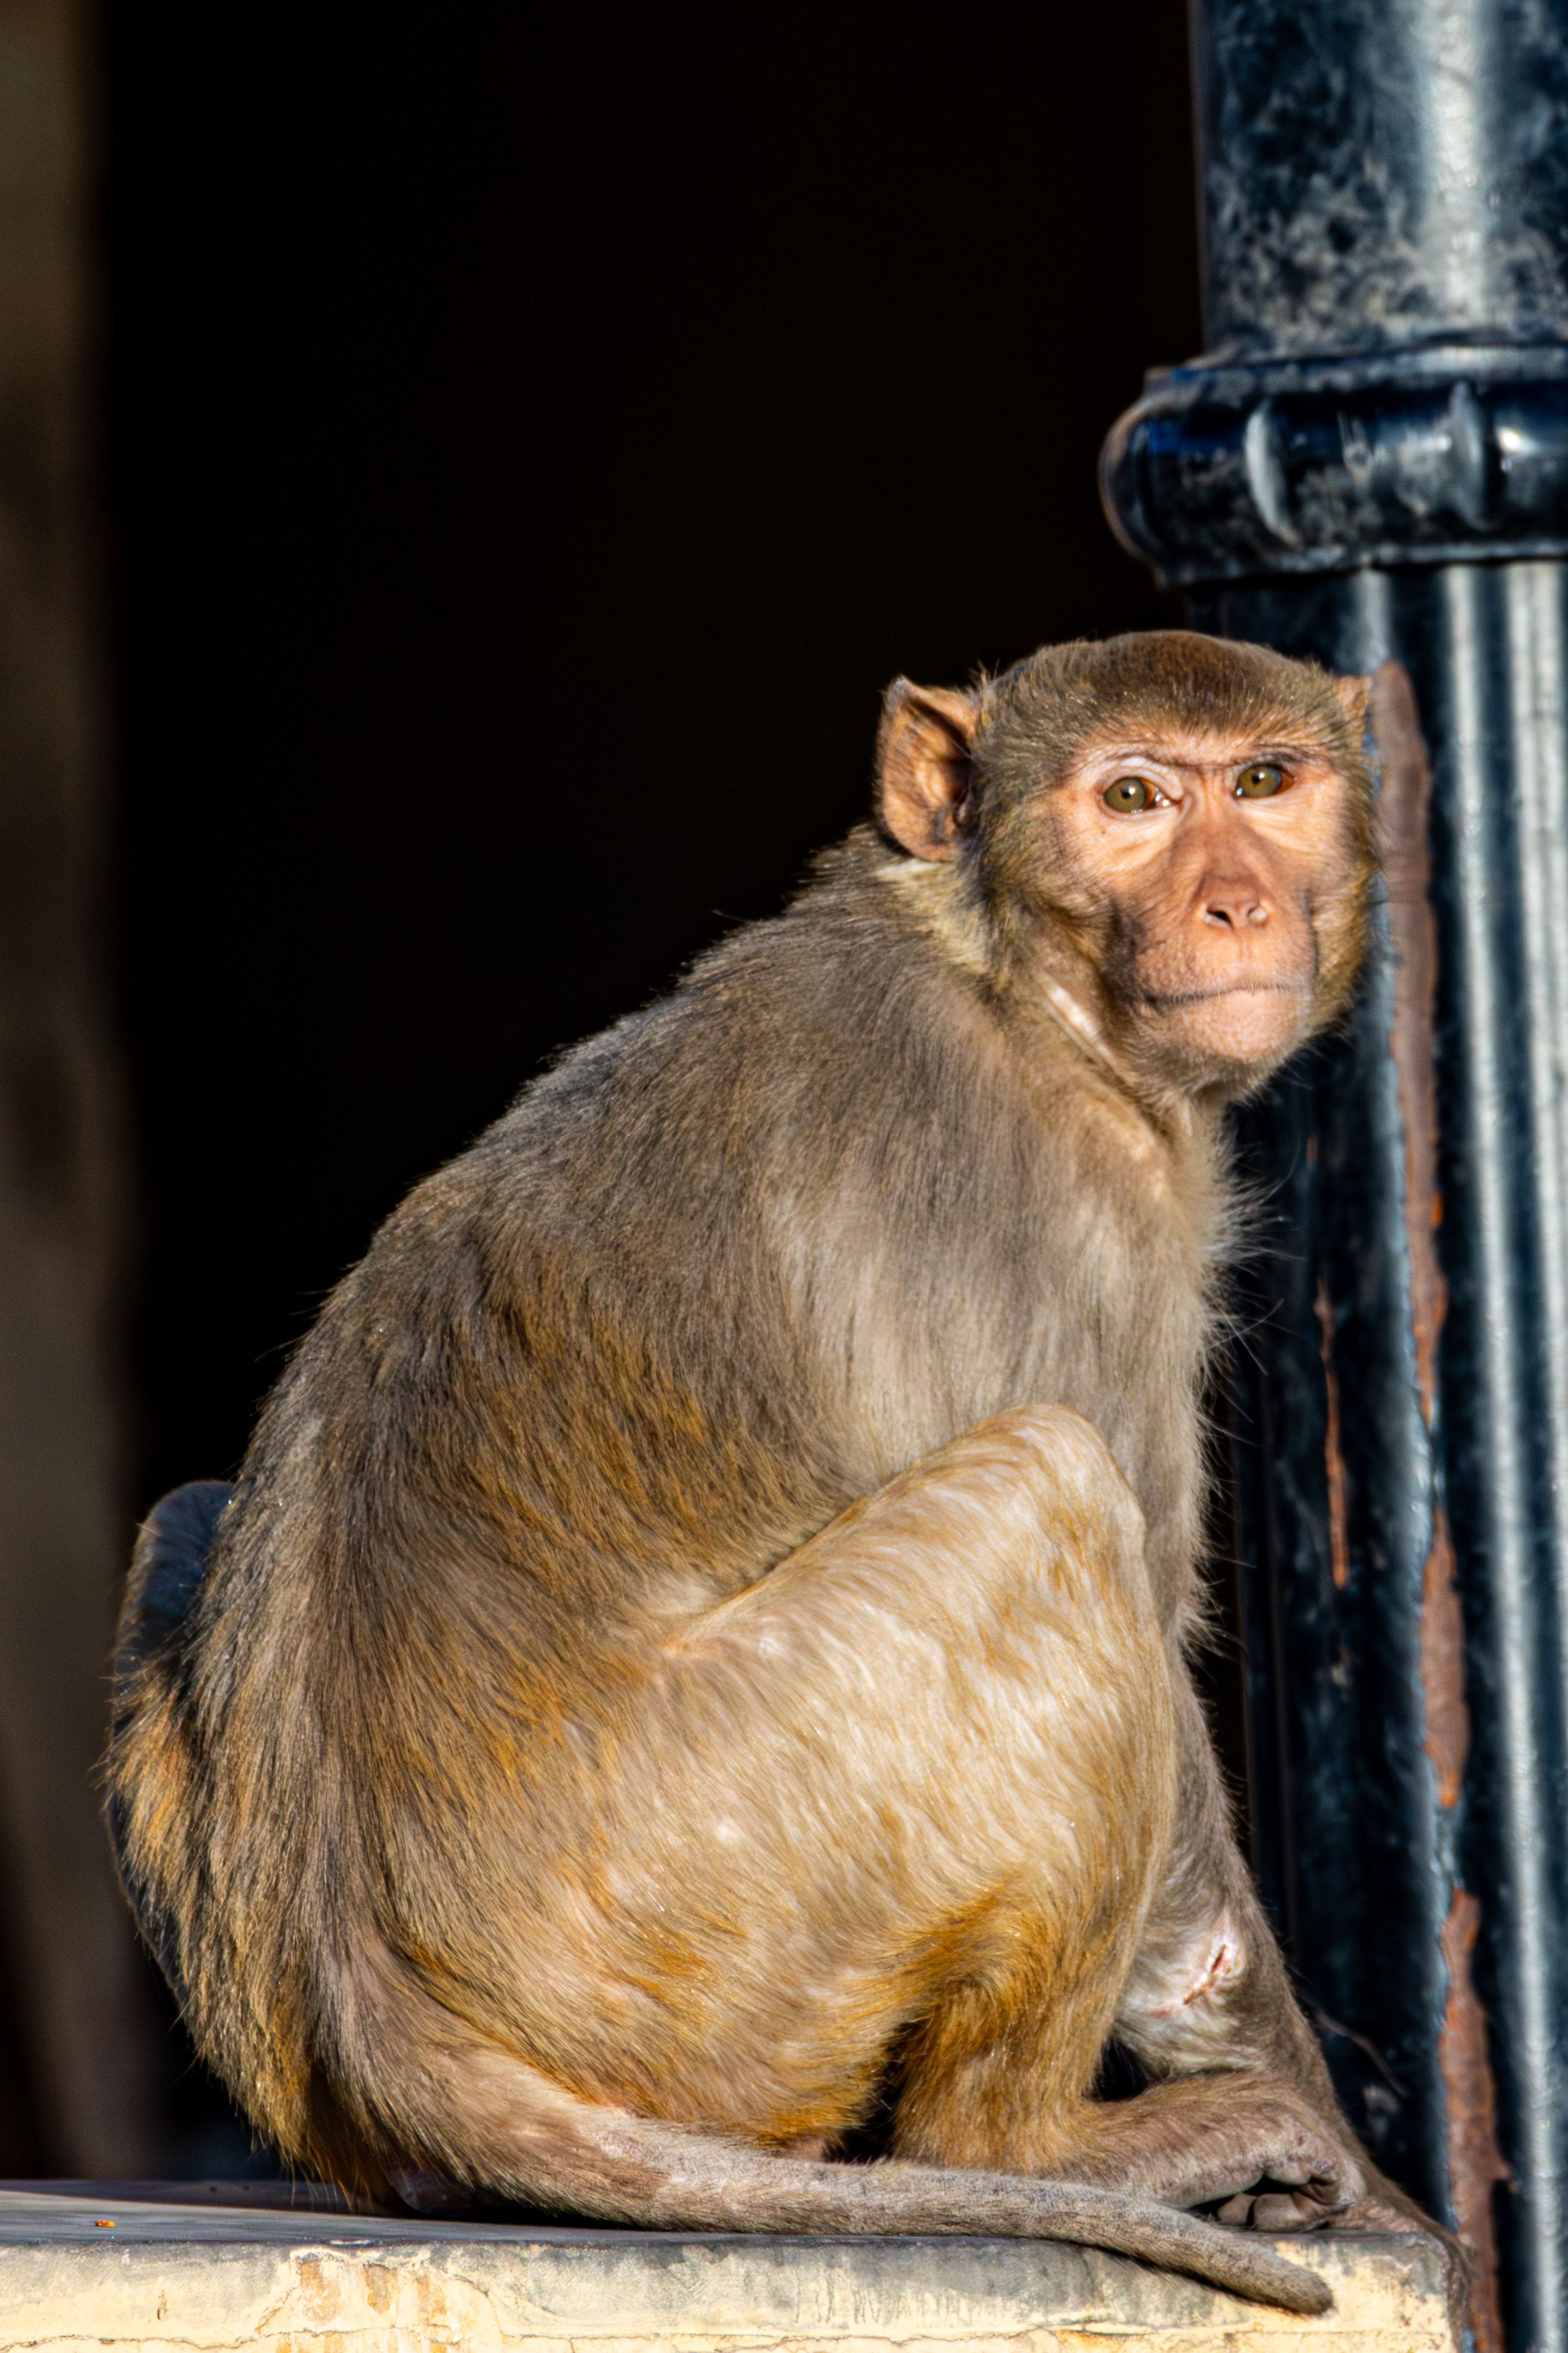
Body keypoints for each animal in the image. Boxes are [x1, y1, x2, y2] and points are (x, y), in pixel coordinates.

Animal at [107, 630, 1430, 2317]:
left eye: (1265, 782)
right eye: (1132, 799)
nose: (1236, 904)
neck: (1005, 976)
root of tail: (366, 2005)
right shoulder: (1070, 1207)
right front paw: (1386, 2188)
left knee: (182, 1517)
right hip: (702, 1916)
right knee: (1049, 1493)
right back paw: (1029, 2147)